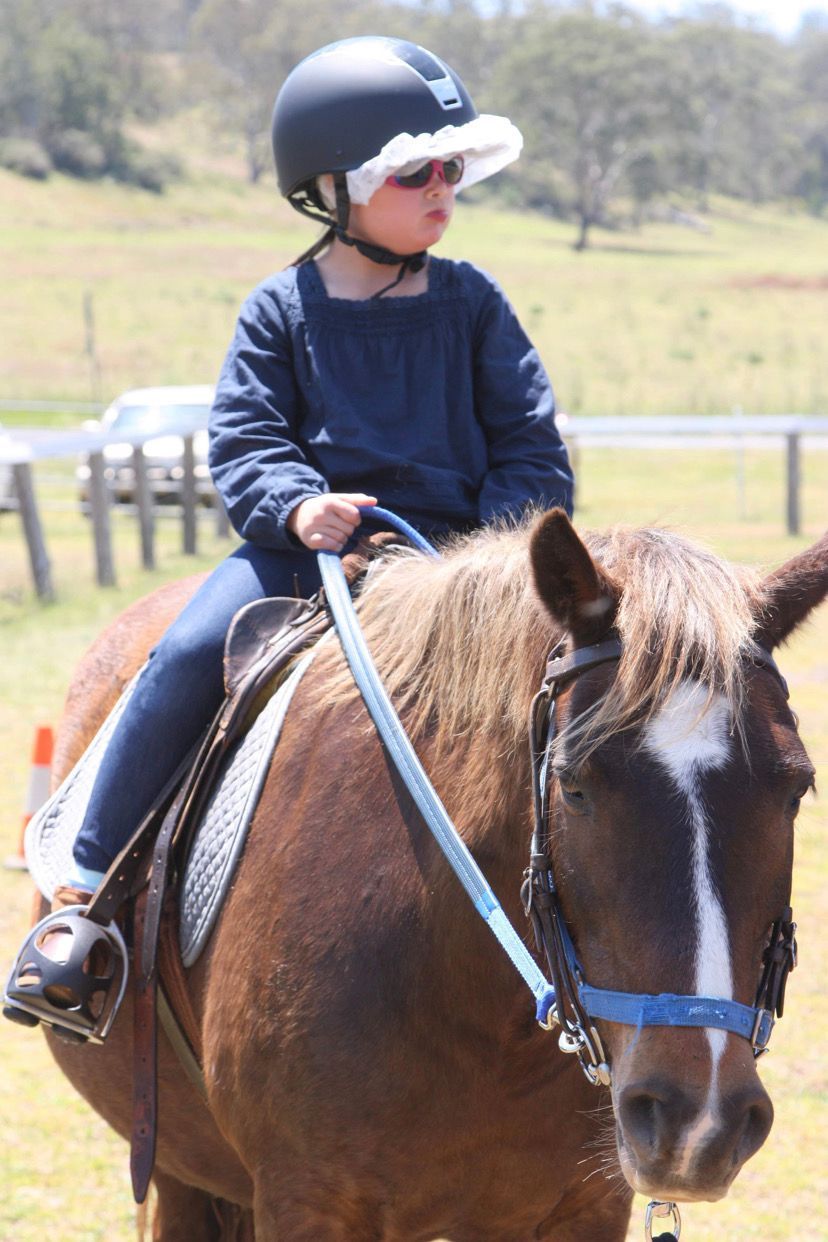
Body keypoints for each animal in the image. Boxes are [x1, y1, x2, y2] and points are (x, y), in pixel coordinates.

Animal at [34, 509, 828, 1241]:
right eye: (574, 785)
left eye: (797, 789)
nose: (697, 1122)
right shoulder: (306, 1201)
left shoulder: (582, 1208)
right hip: (180, 1168)